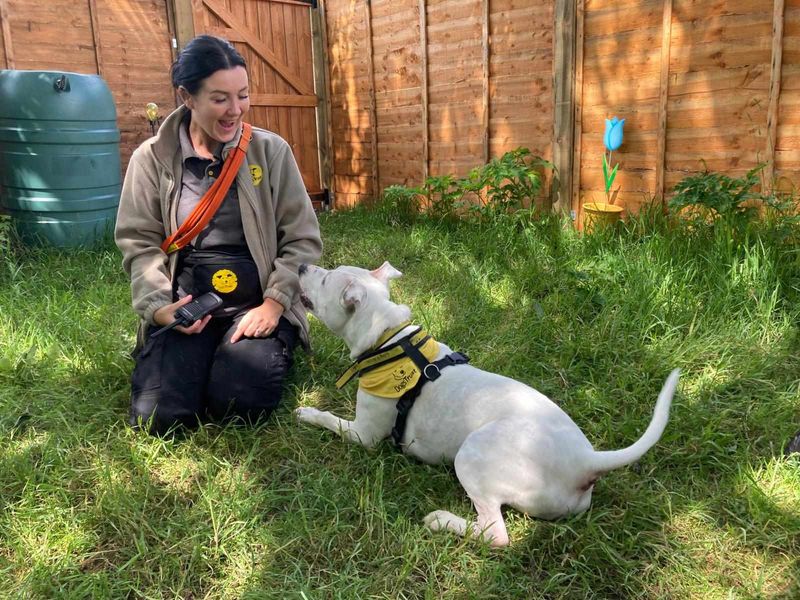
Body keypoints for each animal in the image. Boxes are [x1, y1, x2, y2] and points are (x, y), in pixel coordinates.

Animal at [296, 260, 680, 548]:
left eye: (326, 277)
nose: (300, 265)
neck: (388, 339)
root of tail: (586, 462)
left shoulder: (364, 435)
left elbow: (331, 419)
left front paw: (307, 411)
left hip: (473, 453)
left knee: (495, 534)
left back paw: (442, 521)